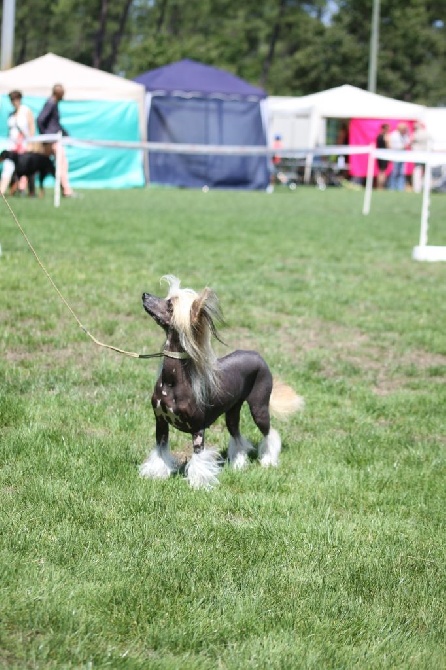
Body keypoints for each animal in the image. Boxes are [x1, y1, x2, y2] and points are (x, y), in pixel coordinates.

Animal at [140, 276, 304, 490]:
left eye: (170, 305)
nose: (144, 295)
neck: (172, 382)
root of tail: (256, 354)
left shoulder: (198, 429)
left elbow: (199, 459)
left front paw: (198, 484)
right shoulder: (160, 422)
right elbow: (160, 451)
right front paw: (156, 475)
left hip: (259, 407)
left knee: (270, 434)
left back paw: (268, 461)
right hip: (232, 412)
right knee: (237, 435)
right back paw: (238, 464)